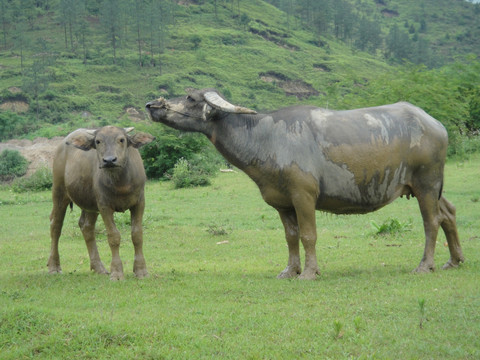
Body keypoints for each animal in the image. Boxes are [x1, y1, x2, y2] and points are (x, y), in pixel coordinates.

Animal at [47, 126, 154, 282]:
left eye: (121, 139)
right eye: (98, 141)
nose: (109, 160)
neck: (121, 183)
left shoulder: (139, 203)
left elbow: (137, 234)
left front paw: (141, 271)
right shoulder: (104, 206)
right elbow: (113, 236)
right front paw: (117, 272)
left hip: (90, 203)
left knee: (86, 227)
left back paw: (99, 267)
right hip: (59, 191)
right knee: (56, 225)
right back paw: (54, 266)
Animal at [144, 88, 464, 280]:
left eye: (190, 97)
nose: (152, 104)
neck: (265, 138)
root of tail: (436, 125)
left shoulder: (304, 196)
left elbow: (309, 235)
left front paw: (310, 272)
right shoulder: (282, 203)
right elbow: (291, 237)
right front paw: (290, 270)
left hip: (426, 183)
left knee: (432, 221)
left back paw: (425, 265)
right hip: (433, 187)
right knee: (448, 213)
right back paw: (454, 260)